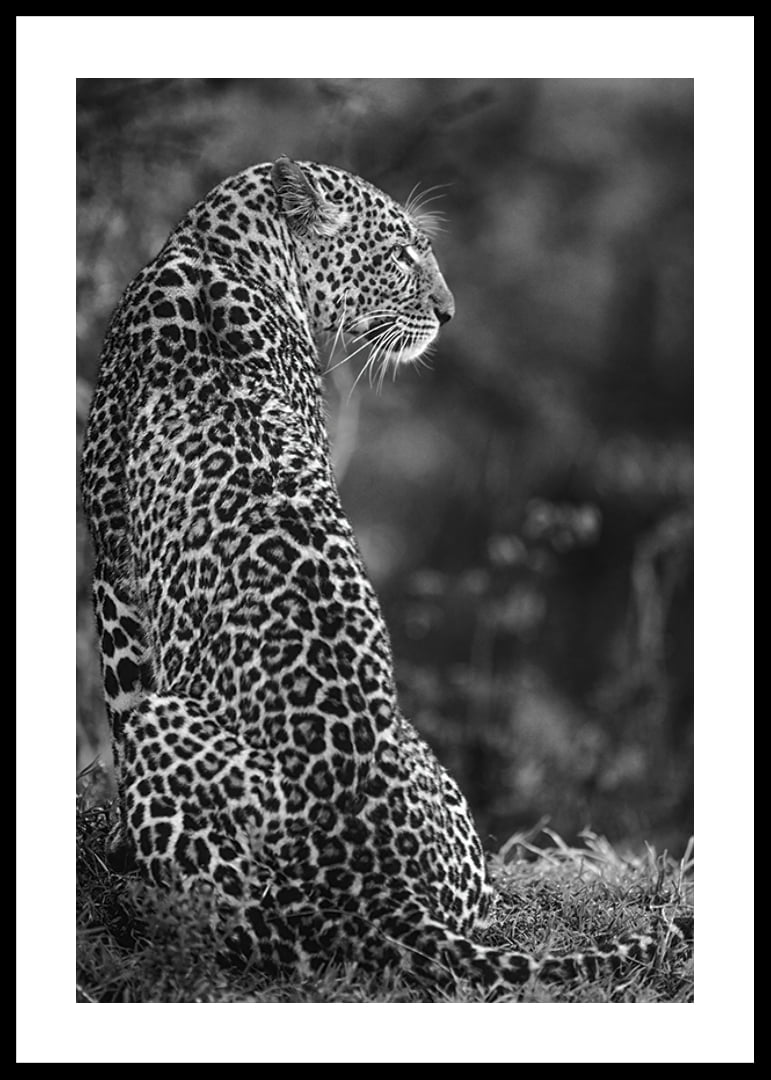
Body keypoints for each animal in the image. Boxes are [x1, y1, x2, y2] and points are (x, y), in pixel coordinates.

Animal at [81, 156, 655, 992]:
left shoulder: (112, 563)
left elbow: (120, 701)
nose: (449, 314)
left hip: (186, 753)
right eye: (402, 253)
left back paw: (146, 900)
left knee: (237, 924)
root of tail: (386, 897)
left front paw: (117, 844)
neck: (217, 249)